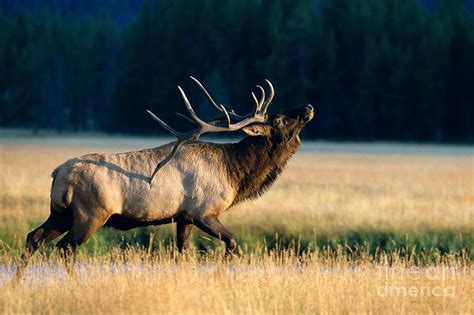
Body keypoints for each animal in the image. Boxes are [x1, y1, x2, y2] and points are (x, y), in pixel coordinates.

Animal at [16, 77, 314, 278]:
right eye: (278, 120)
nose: (308, 106)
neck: (234, 173)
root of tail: (59, 175)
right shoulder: (203, 212)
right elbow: (231, 243)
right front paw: (220, 277)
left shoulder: (183, 217)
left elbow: (182, 255)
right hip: (90, 214)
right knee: (65, 249)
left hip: (60, 213)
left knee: (33, 238)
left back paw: (17, 283)